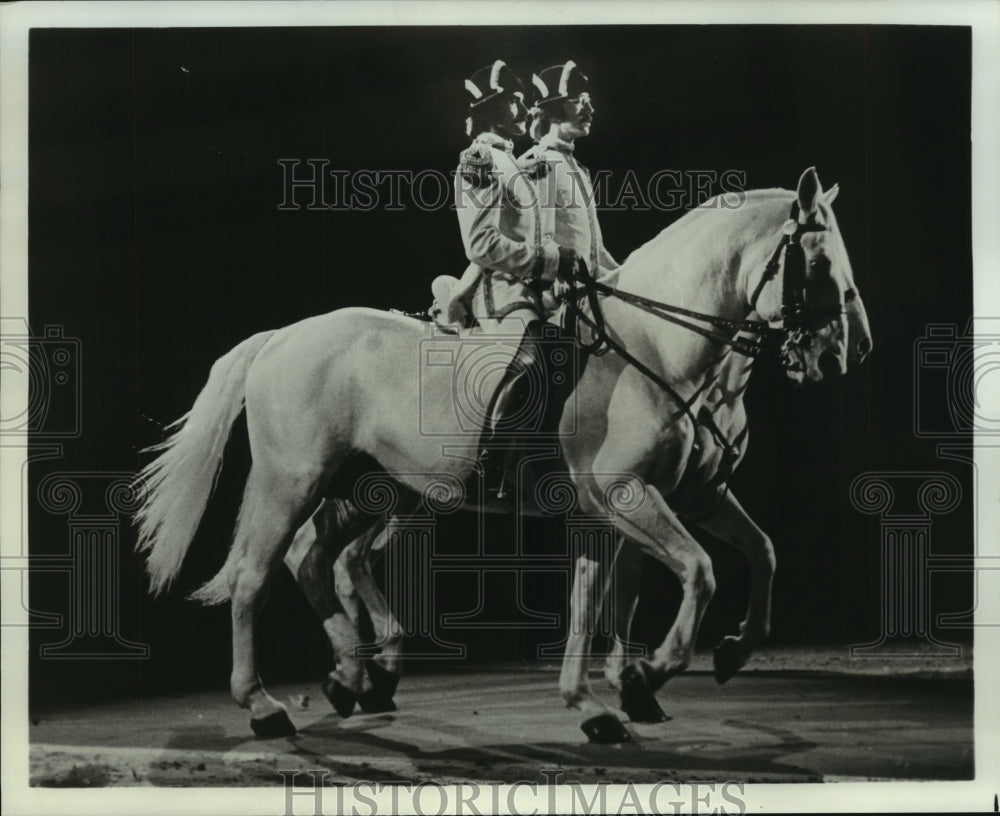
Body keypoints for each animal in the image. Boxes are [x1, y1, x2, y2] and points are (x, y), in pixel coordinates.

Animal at [131, 169, 868, 744]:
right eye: (818, 264)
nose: (842, 354)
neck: (656, 349)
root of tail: (282, 336)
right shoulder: (626, 495)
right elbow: (698, 572)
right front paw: (649, 674)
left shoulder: (680, 498)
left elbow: (740, 560)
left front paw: (636, 689)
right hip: (292, 481)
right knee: (255, 575)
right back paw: (265, 706)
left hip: (368, 488)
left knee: (315, 559)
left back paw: (353, 673)